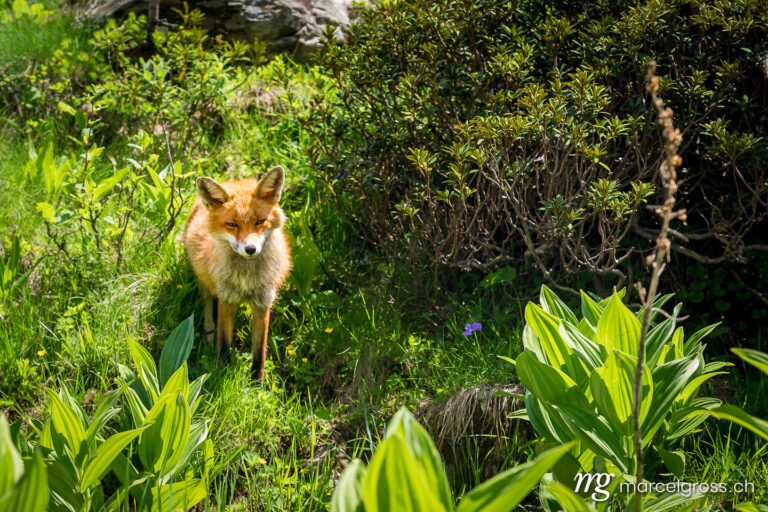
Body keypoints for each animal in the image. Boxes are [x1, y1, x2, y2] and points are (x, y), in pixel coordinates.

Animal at [185, 166, 292, 378]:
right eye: (232, 224)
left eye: (260, 221)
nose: (250, 249)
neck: (246, 280)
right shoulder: (226, 299)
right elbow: (224, 344)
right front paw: (221, 374)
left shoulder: (263, 304)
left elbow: (259, 353)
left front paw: (257, 383)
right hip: (205, 281)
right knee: (207, 304)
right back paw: (209, 333)